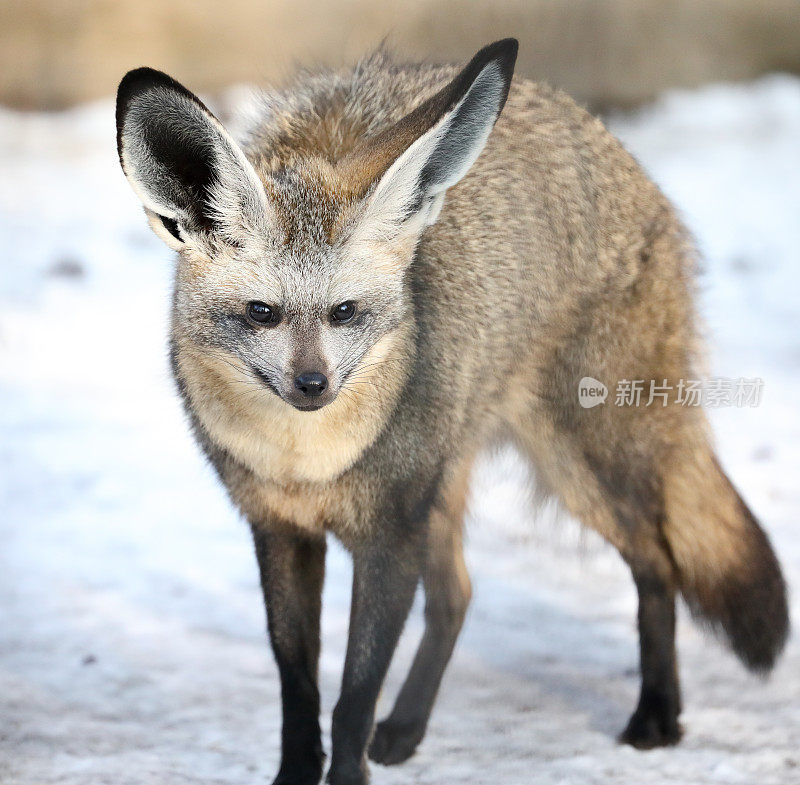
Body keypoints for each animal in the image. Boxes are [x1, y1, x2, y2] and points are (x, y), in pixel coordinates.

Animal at [114, 38, 788, 784]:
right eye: (262, 313)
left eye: (344, 312)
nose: (313, 384)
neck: (307, 466)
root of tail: (628, 163)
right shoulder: (280, 530)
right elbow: (300, 691)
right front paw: (298, 773)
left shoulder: (388, 535)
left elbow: (352, 694)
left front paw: (347, 774)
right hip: (447, 488)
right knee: (458, 595)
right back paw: (408, 727)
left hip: (580, 467)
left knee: (657, 563)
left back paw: (658, 715)